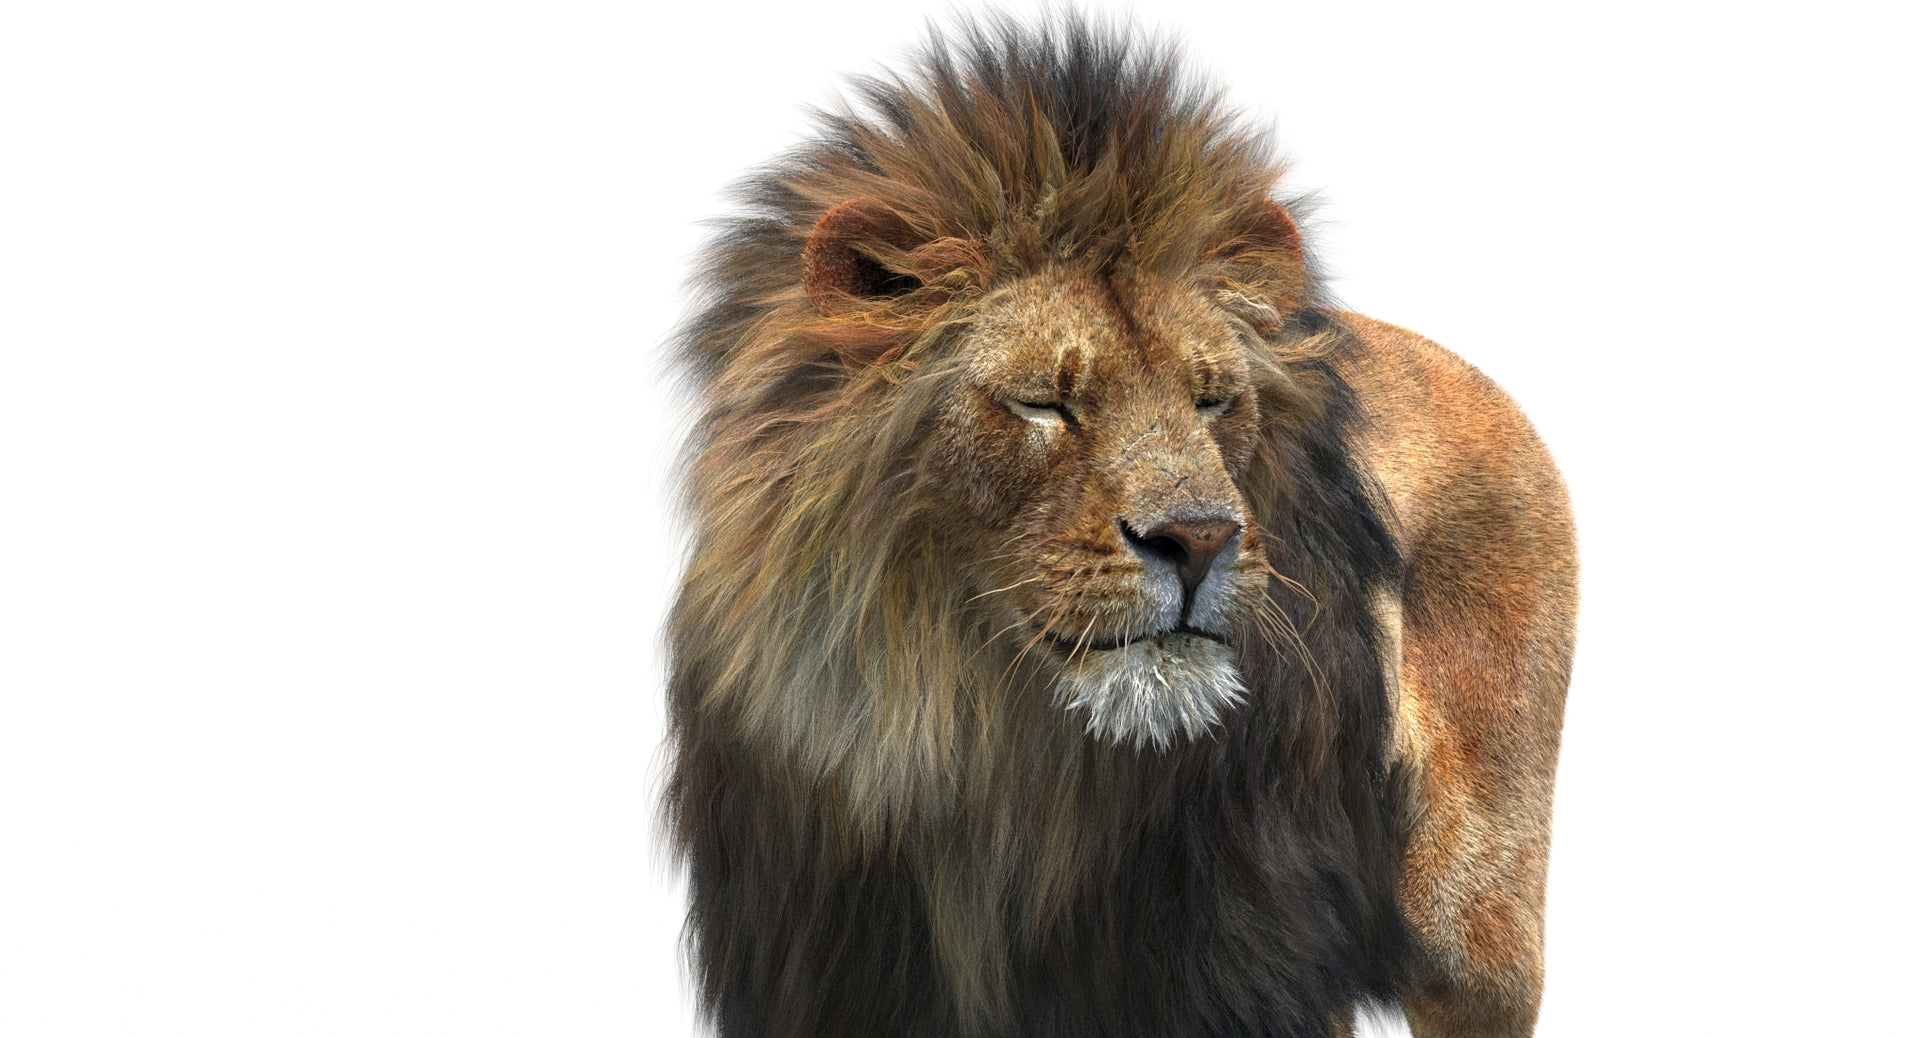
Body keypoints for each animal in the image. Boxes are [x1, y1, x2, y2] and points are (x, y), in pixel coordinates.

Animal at [664, 16, 1576, 1038]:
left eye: (1212, 400)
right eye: (1044, 403)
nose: (1200, 540)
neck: (988, 775)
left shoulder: (1252, 960)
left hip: (1477, 919)